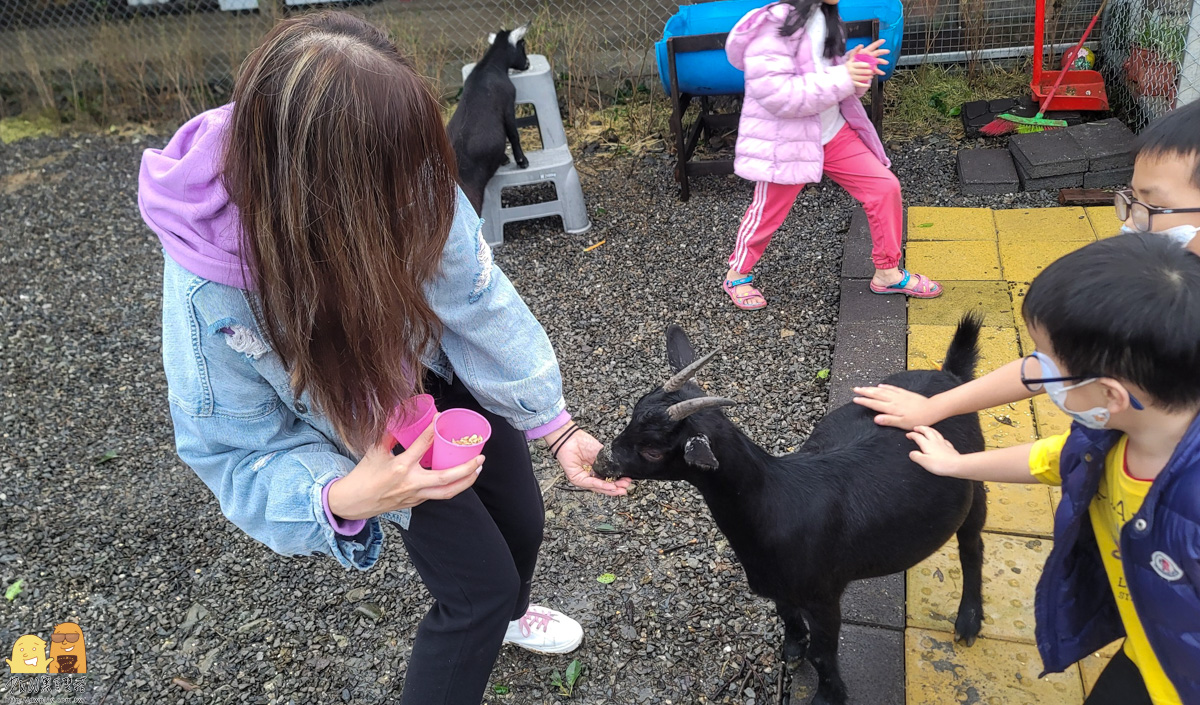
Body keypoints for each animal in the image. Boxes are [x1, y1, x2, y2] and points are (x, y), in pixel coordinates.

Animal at [446, 25, 530, 214]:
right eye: (522, 45)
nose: (528, 64)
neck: (490, 65)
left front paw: (505, 158)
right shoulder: (508, 104)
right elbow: (513, 134)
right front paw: (522, 161)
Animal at [595, 318, 988, 705]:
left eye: (653, 450)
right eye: (632, 414)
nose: (601, 463)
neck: (775, 503)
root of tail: (950, 375)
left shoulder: (824, 596)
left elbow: (823, 653)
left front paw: (828, 696)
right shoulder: (777, 584)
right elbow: (787, 617)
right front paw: (793, 649)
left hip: (974, 481)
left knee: (972, 546)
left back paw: (968, 621)